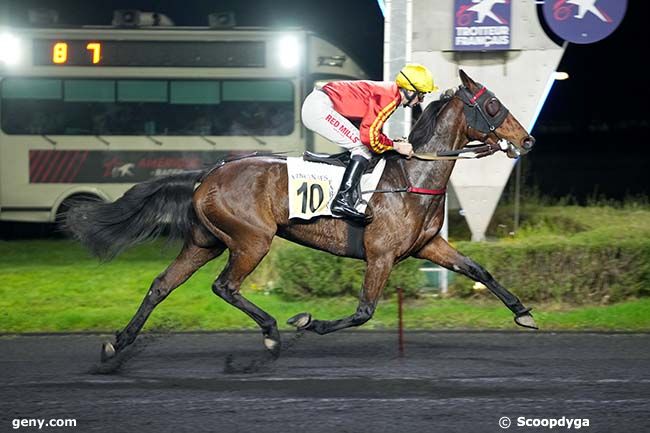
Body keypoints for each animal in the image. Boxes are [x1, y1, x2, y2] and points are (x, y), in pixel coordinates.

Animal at [66, 71, 536, 362]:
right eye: (494, 105)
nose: (527, 140)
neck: (413, 174)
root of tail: (209, 173)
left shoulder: (429, 245)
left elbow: (478, 269)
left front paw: (523, 312)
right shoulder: (381, 255)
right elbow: (363, 311)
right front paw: (307, 321)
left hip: (205, 241)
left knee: (162, 285)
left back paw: (118, 345)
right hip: (252, 240)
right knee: (225, 286)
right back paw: (271, 332)